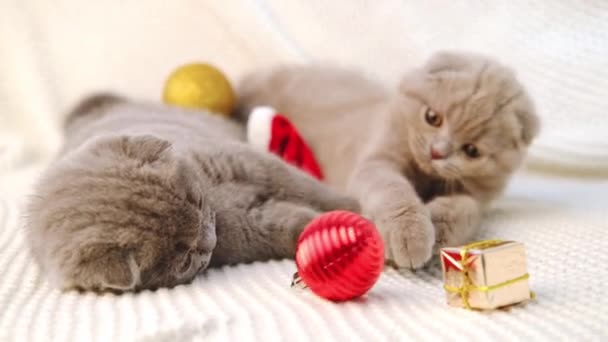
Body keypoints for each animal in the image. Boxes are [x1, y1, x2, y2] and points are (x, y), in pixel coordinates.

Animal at [27, 94, 360, 292]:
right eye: (184, 259)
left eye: (198, 201)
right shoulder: (254, 228)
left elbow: (301, 184)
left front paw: (354, 207)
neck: (219, 201)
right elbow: (294, 225)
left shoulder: (250, 162)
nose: (209, 240)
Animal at [235, 50, 540, 270]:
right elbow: (393, 191)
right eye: (432, 117)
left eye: (472, 151)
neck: (426, 175)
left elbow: (464, 208)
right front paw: (409, 235)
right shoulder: (378, 162)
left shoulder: (477, 196)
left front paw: (437, 227)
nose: (437, 152)